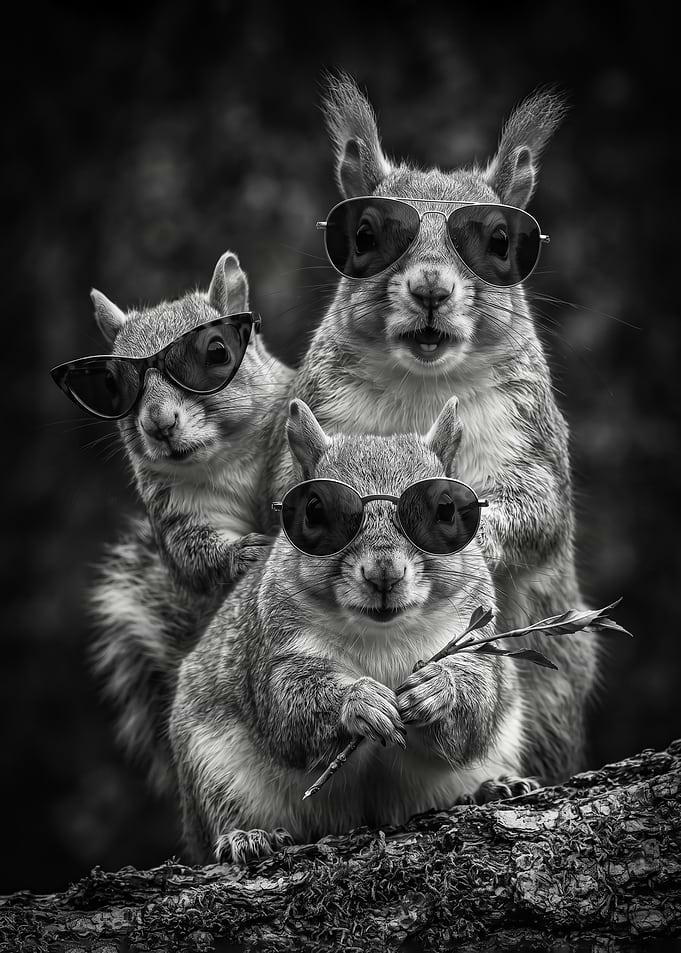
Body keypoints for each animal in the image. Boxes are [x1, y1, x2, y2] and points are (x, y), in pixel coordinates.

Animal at [90, 251, 292, 793]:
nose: (159, 425)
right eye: (113, 385)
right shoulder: (176, 510)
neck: (223, 458)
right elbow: (192, 557)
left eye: (217, 353)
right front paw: (243, 553)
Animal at [171, 397, 535, 865]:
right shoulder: (276, 648)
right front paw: (359, 701)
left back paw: (495, 786)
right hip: (213, 768)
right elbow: (289, 707)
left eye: (446, 509)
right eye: (314, 511)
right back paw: (246, 836)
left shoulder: (472, 634)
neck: (383, 632)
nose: (384, 574)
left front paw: (437, 688)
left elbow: (478, 700)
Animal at [263, 73, 597, 786]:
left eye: (501, 242)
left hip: (553, 685)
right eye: (364, 234)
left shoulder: (526, 429)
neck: (425, 383)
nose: (430, 289)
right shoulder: (320, 418)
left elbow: (538, 507)